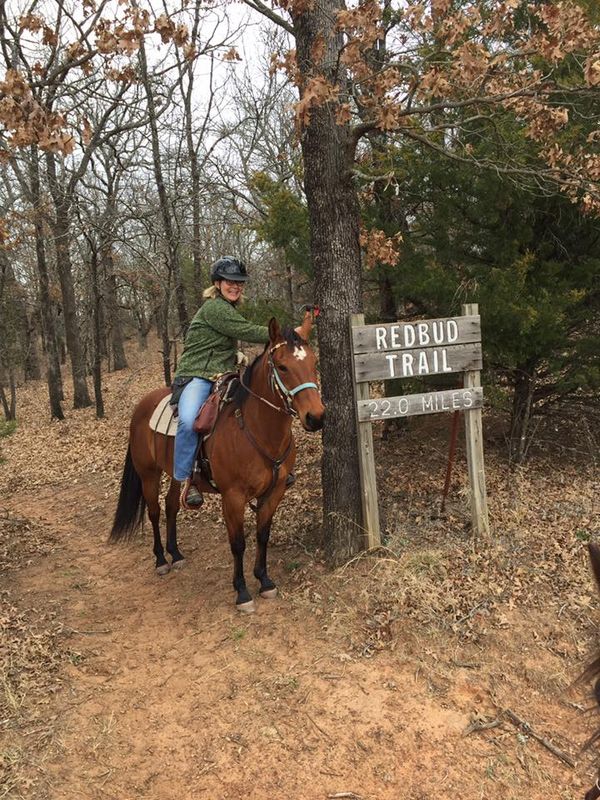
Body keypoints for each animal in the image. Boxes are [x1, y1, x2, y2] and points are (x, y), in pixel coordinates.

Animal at [108, 314, 324, 612]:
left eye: (314, 363)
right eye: (282, 366)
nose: (316, 417)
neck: (255, 427)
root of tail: (142, 405)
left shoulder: (275, 492)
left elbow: (262, 534)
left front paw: (264, 580)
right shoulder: (232, 497)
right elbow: (238, 543)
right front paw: (242, 591)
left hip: (175, 474)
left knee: (171, 505)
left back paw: (176, 554)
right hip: (148, 474)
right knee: (154, 511)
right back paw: (161, 560)